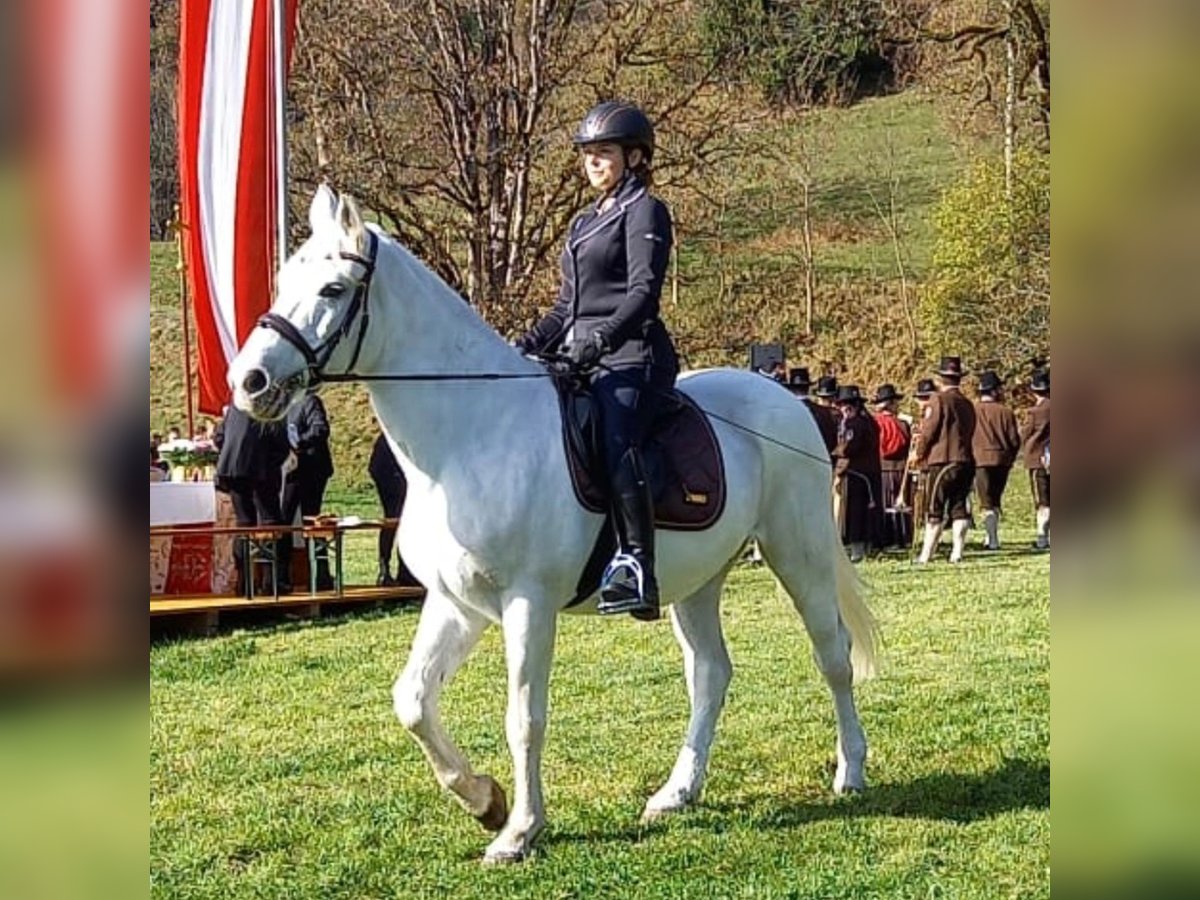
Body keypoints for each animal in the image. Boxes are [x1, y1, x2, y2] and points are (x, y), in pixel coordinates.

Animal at [229, 184, 878, 868]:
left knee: (832, 656)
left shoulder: (527, 603)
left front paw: (518, 831)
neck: (468, 435)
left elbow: (524, 718)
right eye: (283, 280)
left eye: (332, 288)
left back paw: (850, 771)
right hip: (698, 579)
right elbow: (413, 700)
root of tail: (787, 401)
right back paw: (677, 792)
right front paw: (483, 800)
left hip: (799, 552)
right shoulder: (455, 602)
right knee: (709, 672)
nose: (249, 382)